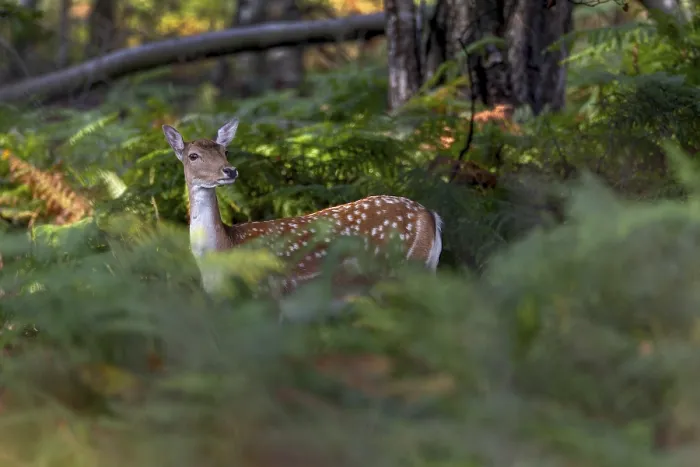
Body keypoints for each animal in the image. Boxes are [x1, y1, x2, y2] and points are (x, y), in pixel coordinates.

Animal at [161, 118, 443, 305]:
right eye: (193, 155)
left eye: (225, 150)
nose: (229, 170)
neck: (223, 249)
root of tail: (430, 215)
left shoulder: (270, 292)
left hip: (404, 269)